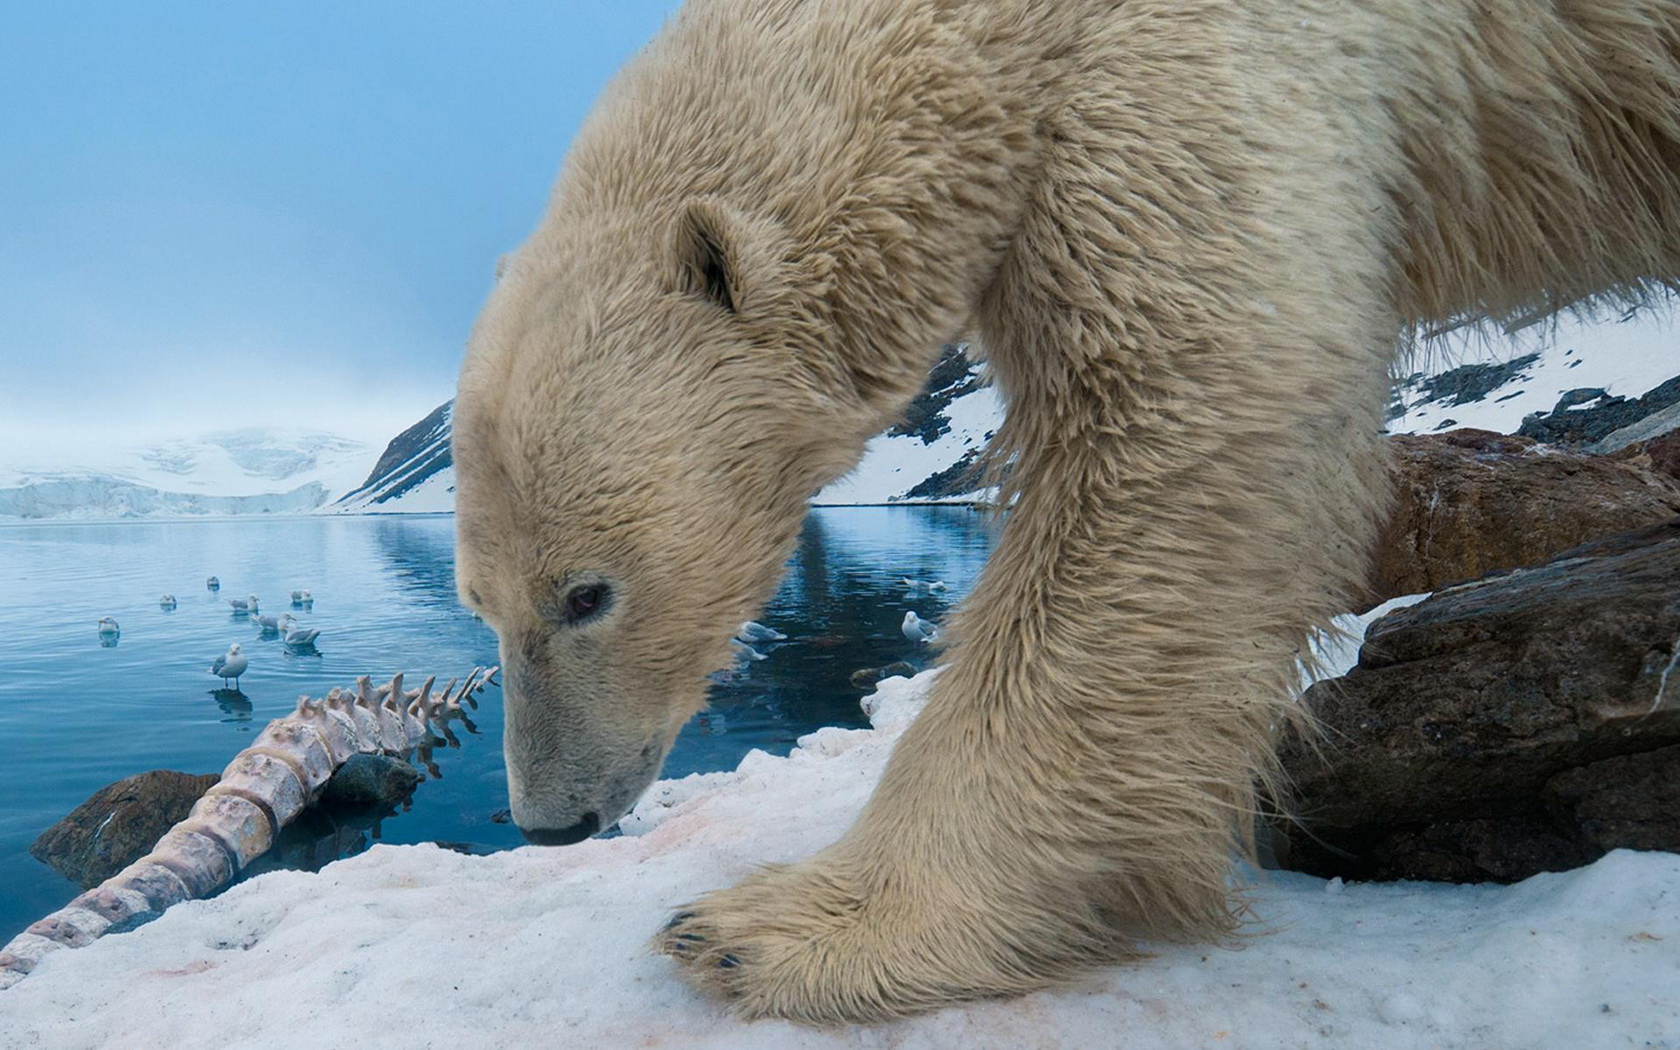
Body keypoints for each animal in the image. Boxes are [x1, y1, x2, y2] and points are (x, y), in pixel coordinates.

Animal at [453, 0, 1680, 1021]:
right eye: (482, 604)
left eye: (587, 594)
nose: (551, 819)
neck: (997, 27)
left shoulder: (1192, 69)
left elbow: (1183, 420)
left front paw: (775, 929)